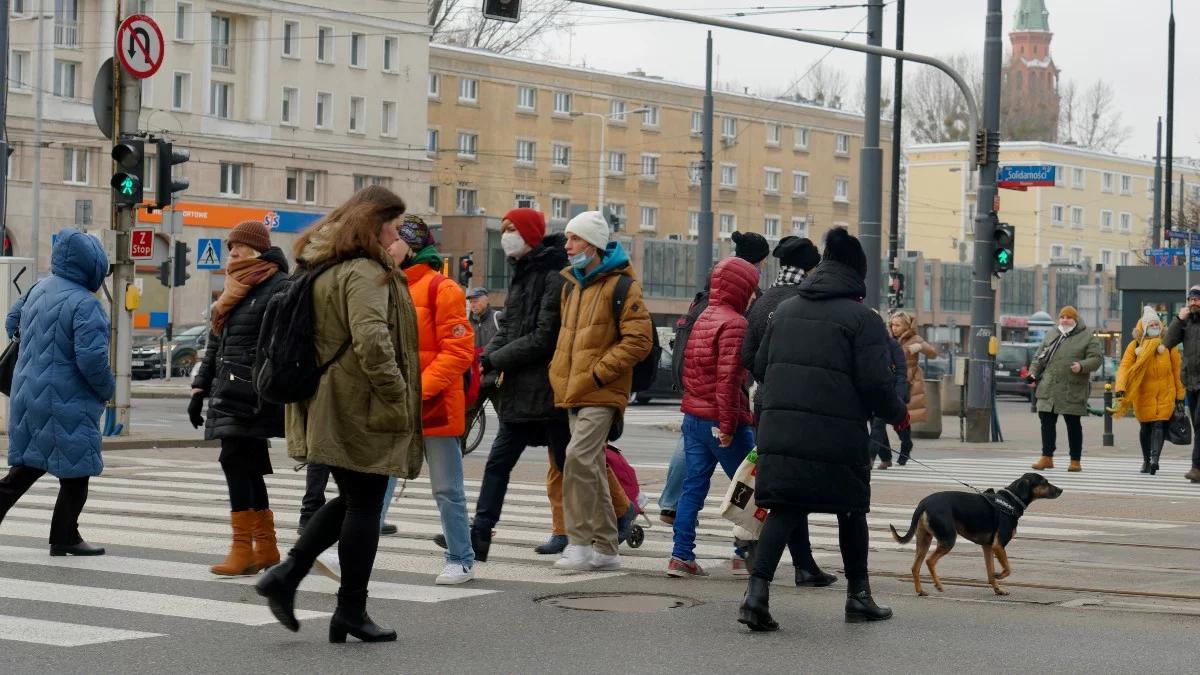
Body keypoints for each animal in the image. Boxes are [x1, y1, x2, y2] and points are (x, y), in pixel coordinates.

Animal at [888, 473, 1065, 593]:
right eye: (1044, 482)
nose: (1061, 489)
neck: (1011, 502)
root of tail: (923, 503)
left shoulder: (988, 547)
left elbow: (989, 571)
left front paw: (998, 588)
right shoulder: (999, 545)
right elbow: (1007, 568)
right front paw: (999, 576)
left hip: (923, 541)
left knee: (915, 567)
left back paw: (920, 591)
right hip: (948, 539)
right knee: (930, 561)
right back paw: (938, 585)